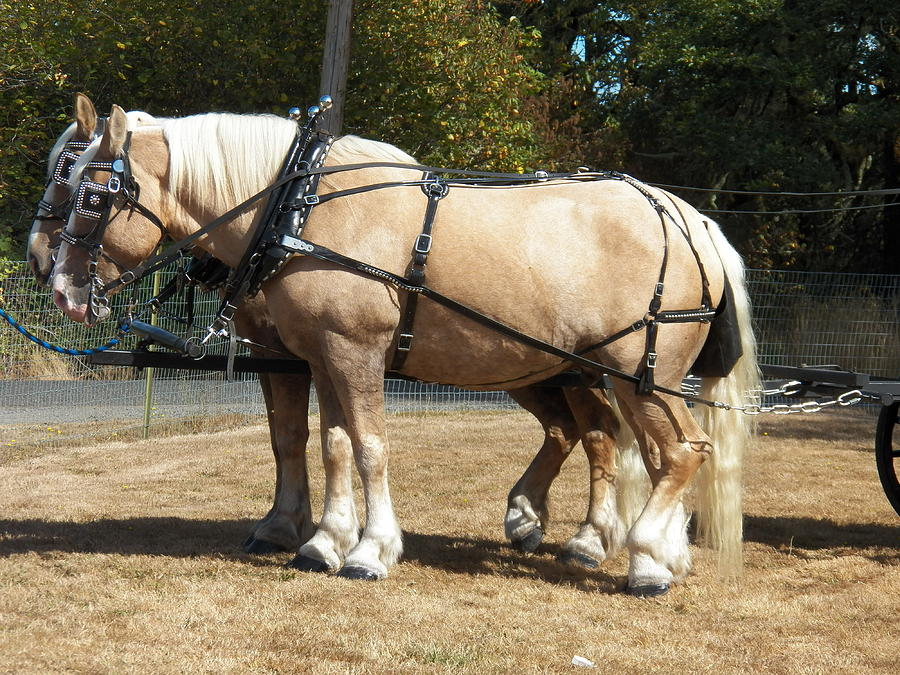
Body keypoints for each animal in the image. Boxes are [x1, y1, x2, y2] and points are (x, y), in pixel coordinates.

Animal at [51, 103, 760, 596]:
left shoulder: (353, 350)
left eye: (91, 194)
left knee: (678, 450)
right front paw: (322, 541)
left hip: (638, 373)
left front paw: (369, 551)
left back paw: (646, 559)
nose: (57, 285)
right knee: (620, 443)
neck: (299, 210)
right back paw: (633, 544)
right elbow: (328, 442)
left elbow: (368, 447)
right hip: (581, 371)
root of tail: (689, 218)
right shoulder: (321, 356)